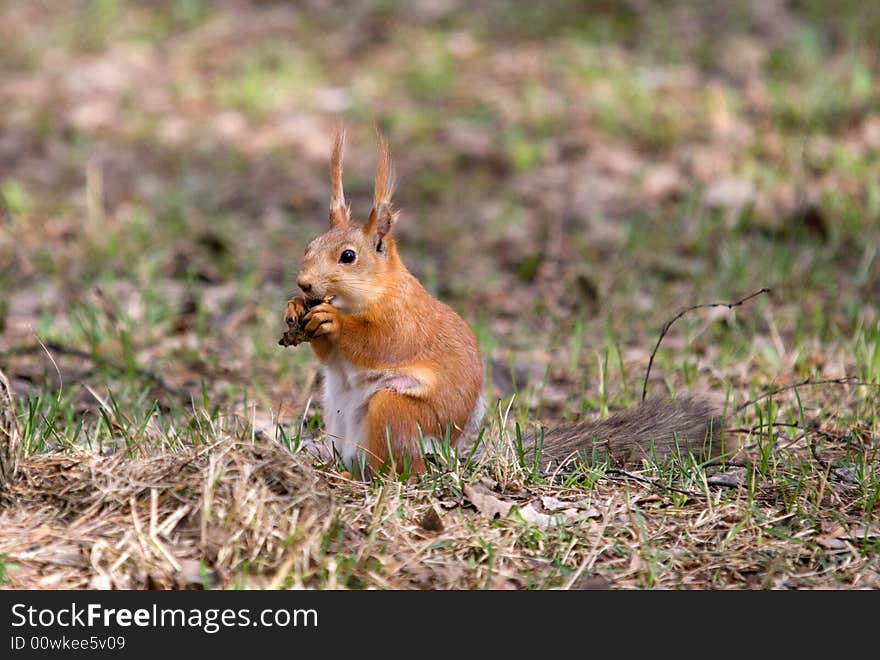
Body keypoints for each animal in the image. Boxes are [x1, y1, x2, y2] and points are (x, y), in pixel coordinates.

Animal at [284, 129, 736, 476]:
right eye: (308, 245)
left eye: (348, 256)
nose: (304, 283)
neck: (369, 294)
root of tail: (445, 453)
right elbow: (331, 358)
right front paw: (296, 310)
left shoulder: (403, 320)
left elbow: (378, 343)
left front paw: (333, 322)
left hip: (396, 411)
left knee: (398, 469)